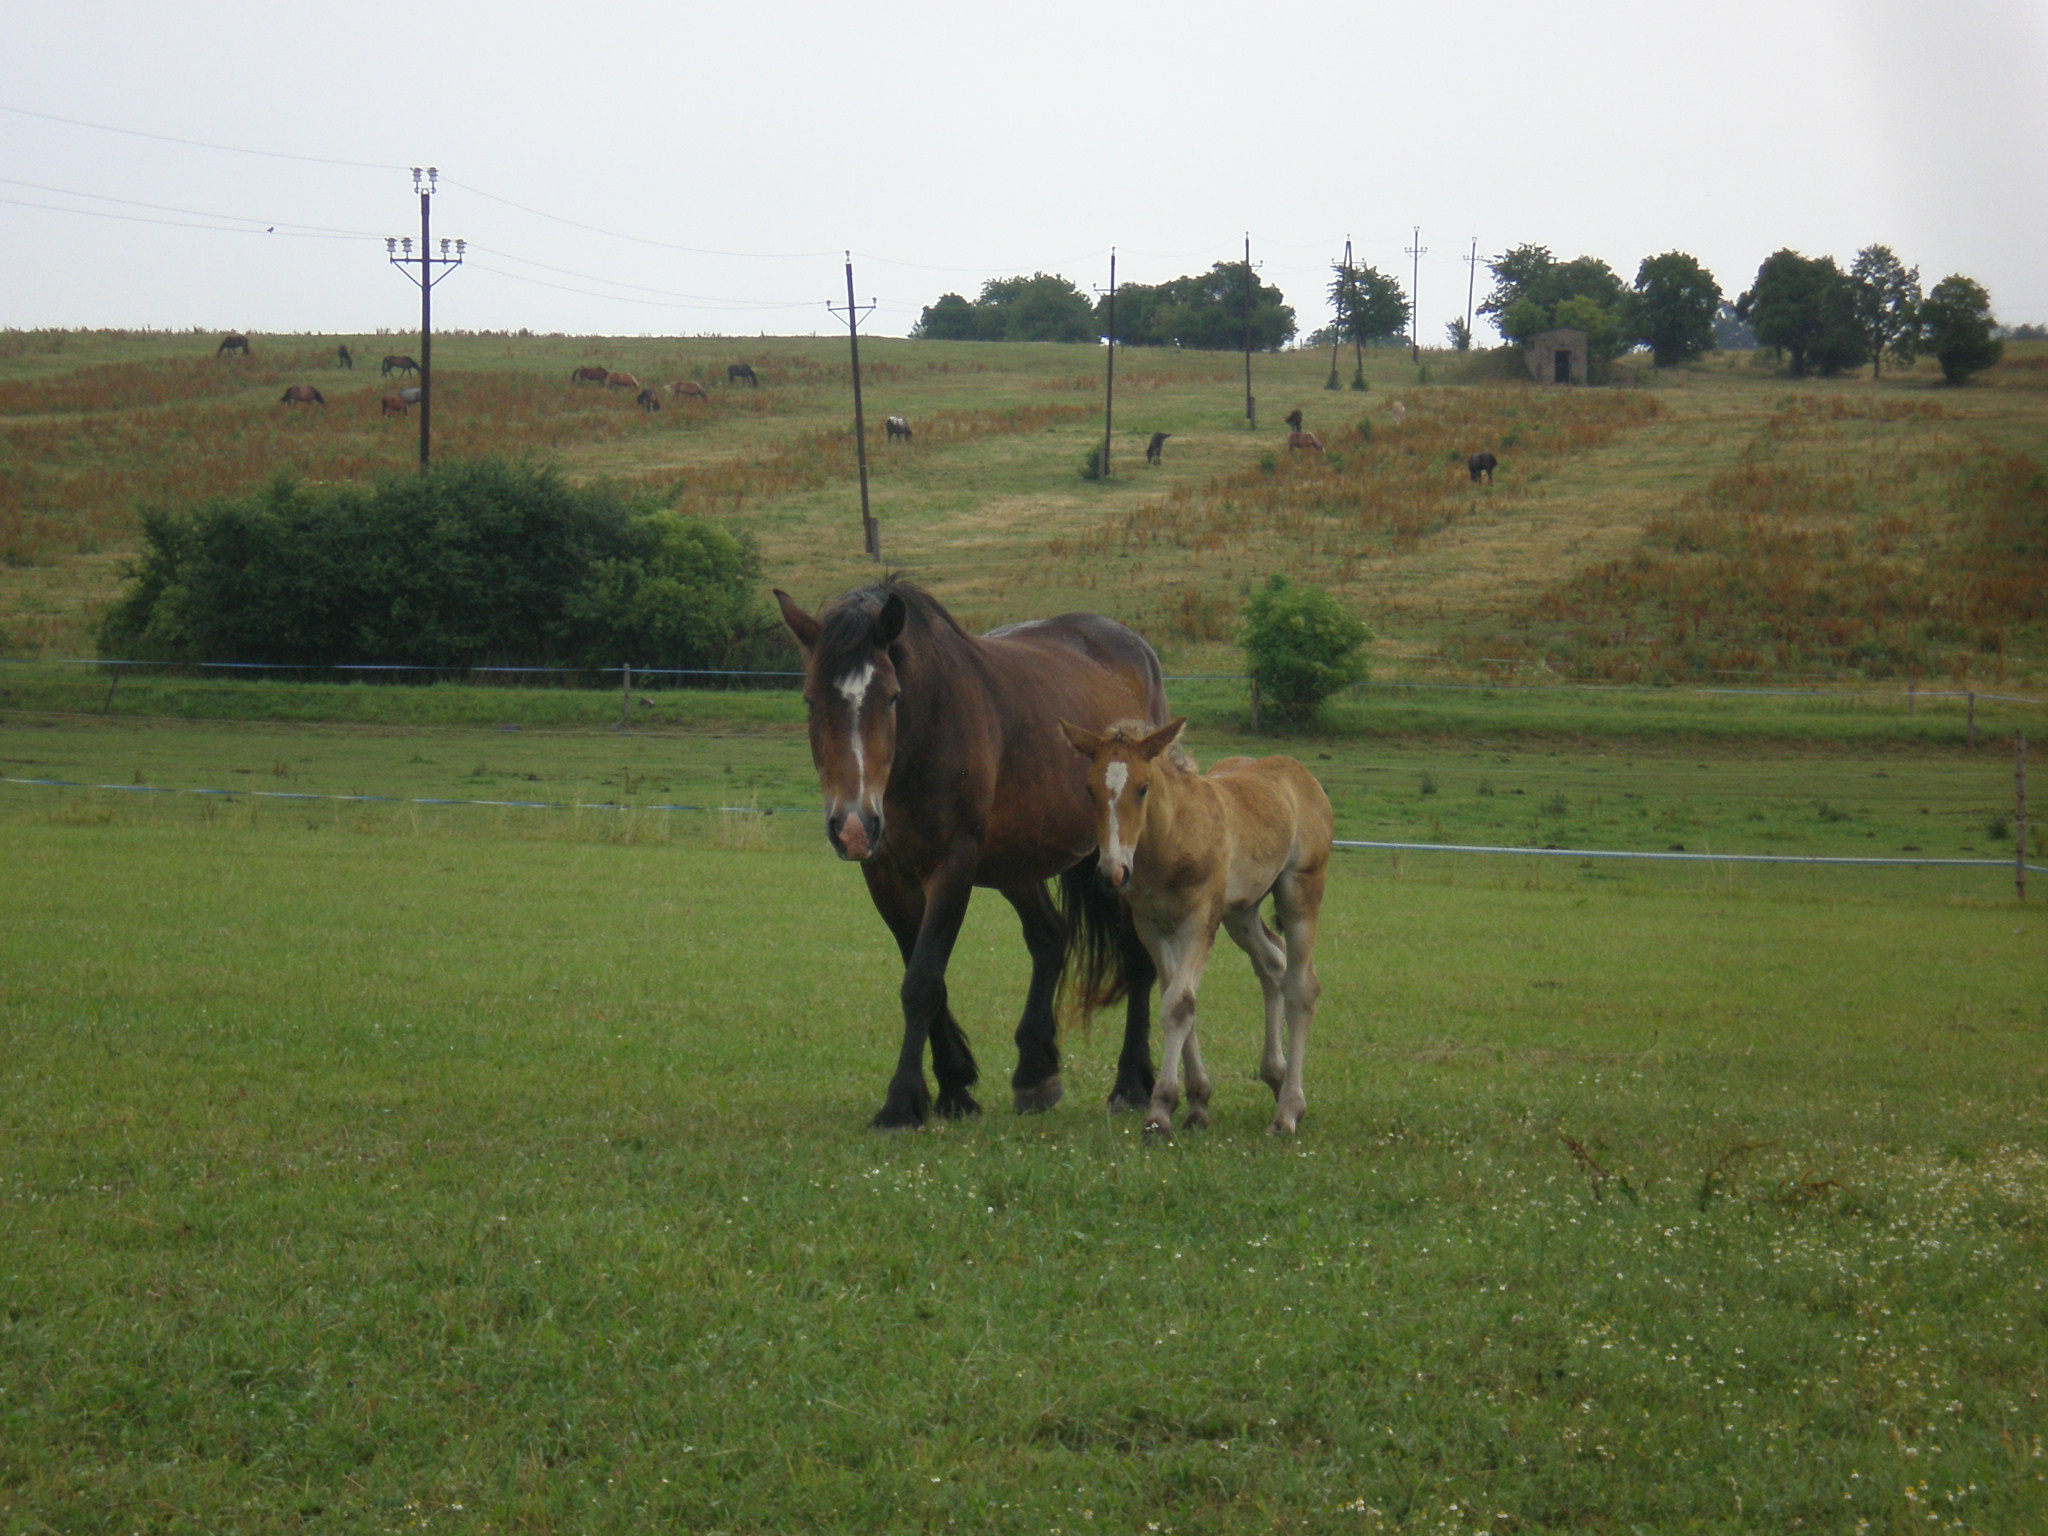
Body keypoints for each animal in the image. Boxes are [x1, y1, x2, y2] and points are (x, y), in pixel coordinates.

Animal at [774, 577, 1171, 1130]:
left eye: (892, 698)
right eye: (811, 701)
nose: (852, 825)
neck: (924, 734)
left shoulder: (952, 868)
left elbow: (922, 981)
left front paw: (901, 1102)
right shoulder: (885, 874)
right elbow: (924, 974)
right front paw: (954, 1086)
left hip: (1115, 860)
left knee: (1136, 960)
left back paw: (1131, 1083)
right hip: (1016, 863)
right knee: (1050, 937)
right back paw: (1035, 1073)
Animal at [1064, 720, 1335, 1146]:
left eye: (1142, 787)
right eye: (1090, 788)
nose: (1112, 872)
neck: (1169, 840)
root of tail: (1303, 776)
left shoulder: (1199, 921)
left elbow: (1179, 1003)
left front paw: (1160, 1112)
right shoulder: (1153, 926)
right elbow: (1175, 996)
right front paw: (1195, 1104)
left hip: (1300, 889)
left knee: (1301, 986)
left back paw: (1288, 1111)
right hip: (1241, 912)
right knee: (1272, 963)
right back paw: (1275, 1075)